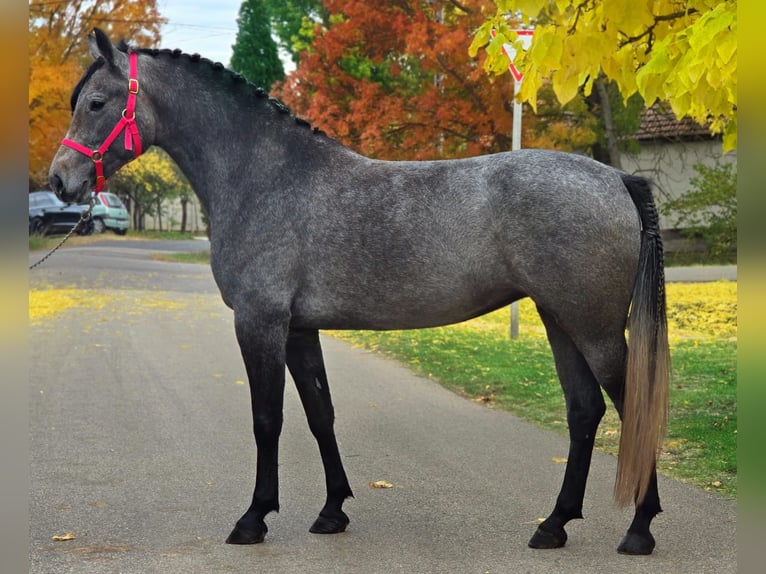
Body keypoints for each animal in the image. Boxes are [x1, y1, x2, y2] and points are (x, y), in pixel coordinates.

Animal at [49, 29, 669, 556]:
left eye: (96, 102)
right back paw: (554, 525)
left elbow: (267, 419)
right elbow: (320, 414)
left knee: (631, 408)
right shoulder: (300, 330)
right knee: (584, 411)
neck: (266, 177)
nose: (60, 181)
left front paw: (254, 519)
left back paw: (639, 529)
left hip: (593, 329)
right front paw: (332, 512)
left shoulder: (260, 323)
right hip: (558, 320)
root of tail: (617, 179)